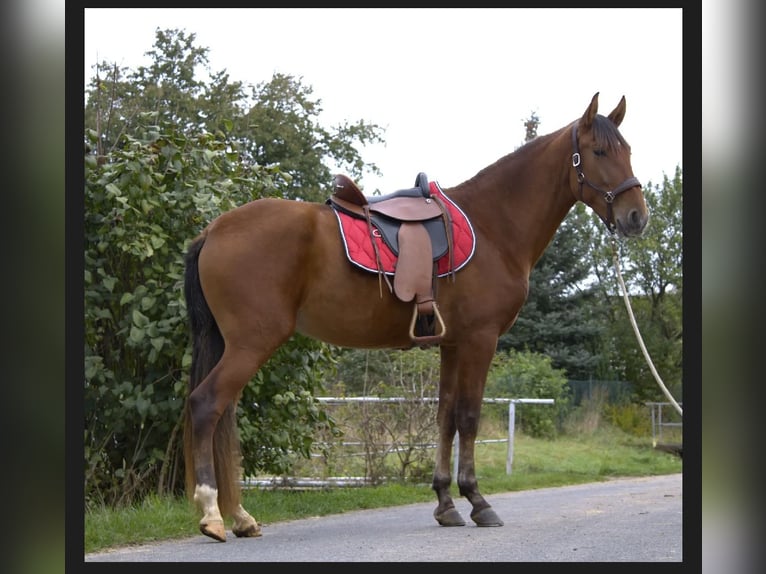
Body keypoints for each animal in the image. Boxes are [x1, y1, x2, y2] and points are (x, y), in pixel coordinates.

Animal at [183, 92, 652, 544]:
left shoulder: (452, 343)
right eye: (598, 151)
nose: (636, 216)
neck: (493, 226)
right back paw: (212, 515)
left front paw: (446, 504)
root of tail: (213, 230)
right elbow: (469, 417)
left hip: (236, 345)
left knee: (224, 415)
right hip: (252, 342)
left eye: (628, 149)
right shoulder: (480, 340)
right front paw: (478, 502)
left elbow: (445, 417)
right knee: (207, 405)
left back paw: (240, 517)